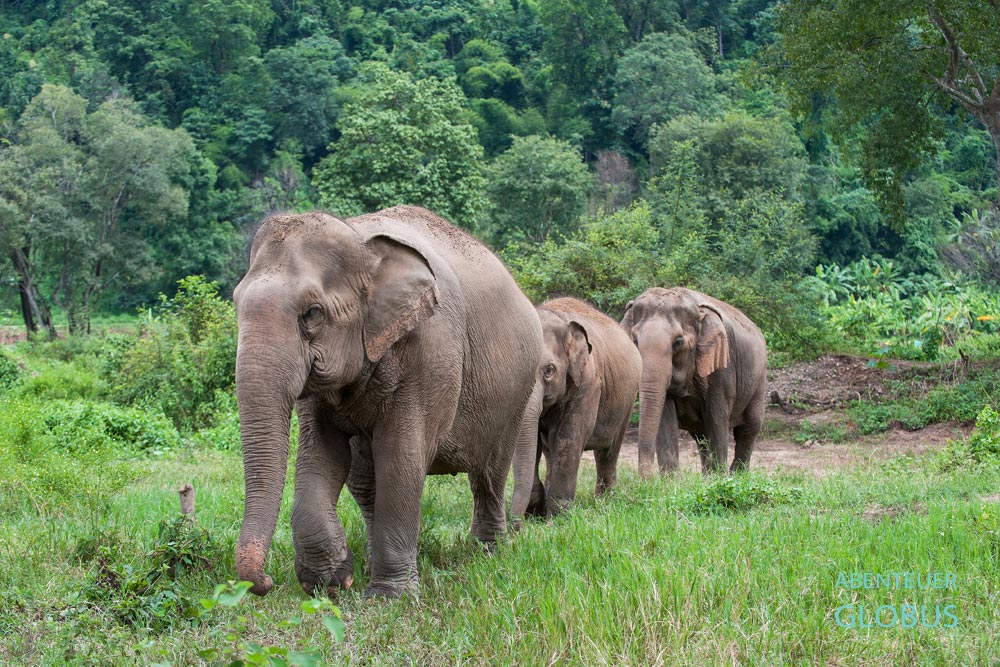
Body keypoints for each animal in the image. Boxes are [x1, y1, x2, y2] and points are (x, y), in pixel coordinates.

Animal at [232, 205, 543, 599]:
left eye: (313, 313)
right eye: (235, 304)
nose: (265, 582)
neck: (361, 242)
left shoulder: (431, 350)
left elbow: (401, 458)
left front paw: (388, 599)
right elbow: (321, 455)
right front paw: (332, 582)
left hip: (515, 390)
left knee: (489, 472)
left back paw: (486, 551)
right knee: (366, 482)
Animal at [527, 298, 641, 517]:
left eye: (549, 370)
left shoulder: (588, 382)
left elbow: (568, 438)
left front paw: (558, 517)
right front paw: (536, 511)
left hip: (627, 400)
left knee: (608, 450)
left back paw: (605, 501)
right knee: (550, 450)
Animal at [621, 287, 767, 476]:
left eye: (678, 342)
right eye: (635, 341)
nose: (647, 480)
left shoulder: (722, 370)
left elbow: (717, 420)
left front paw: (720, 478)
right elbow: (665, 417)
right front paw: (670, 480)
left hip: (759, 380)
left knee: (749, 428)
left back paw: (737, 476)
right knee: (701, 436)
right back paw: (708, 476)